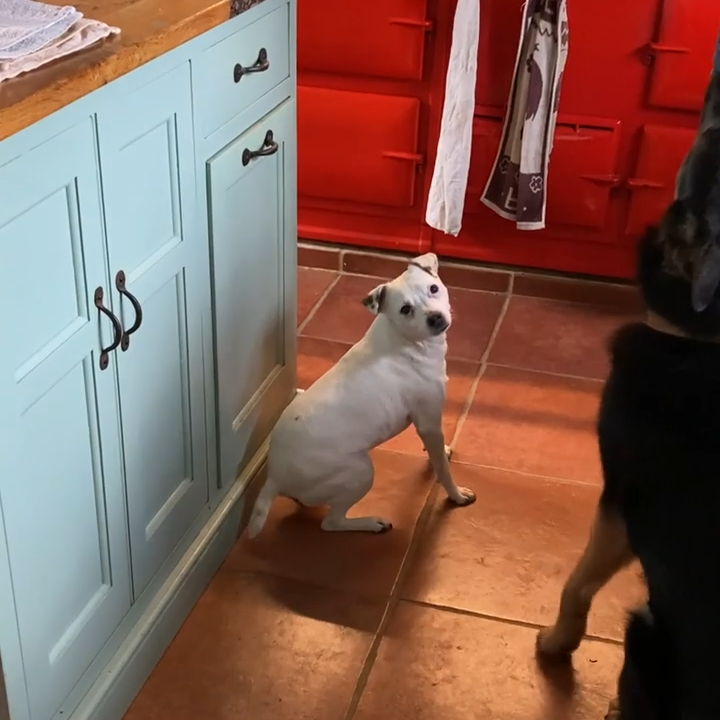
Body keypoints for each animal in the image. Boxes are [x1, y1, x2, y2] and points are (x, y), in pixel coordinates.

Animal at [248, 250, 478, 536]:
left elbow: (435, 451)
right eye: (405, 309)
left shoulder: (427, 423)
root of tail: (274, 478)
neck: (405, 339)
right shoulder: (429, 421)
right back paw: (371, 523)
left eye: (433, 289)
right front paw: (456, 495)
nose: (435, 317)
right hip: (361, 473)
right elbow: (443, 470)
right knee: (331, 522)